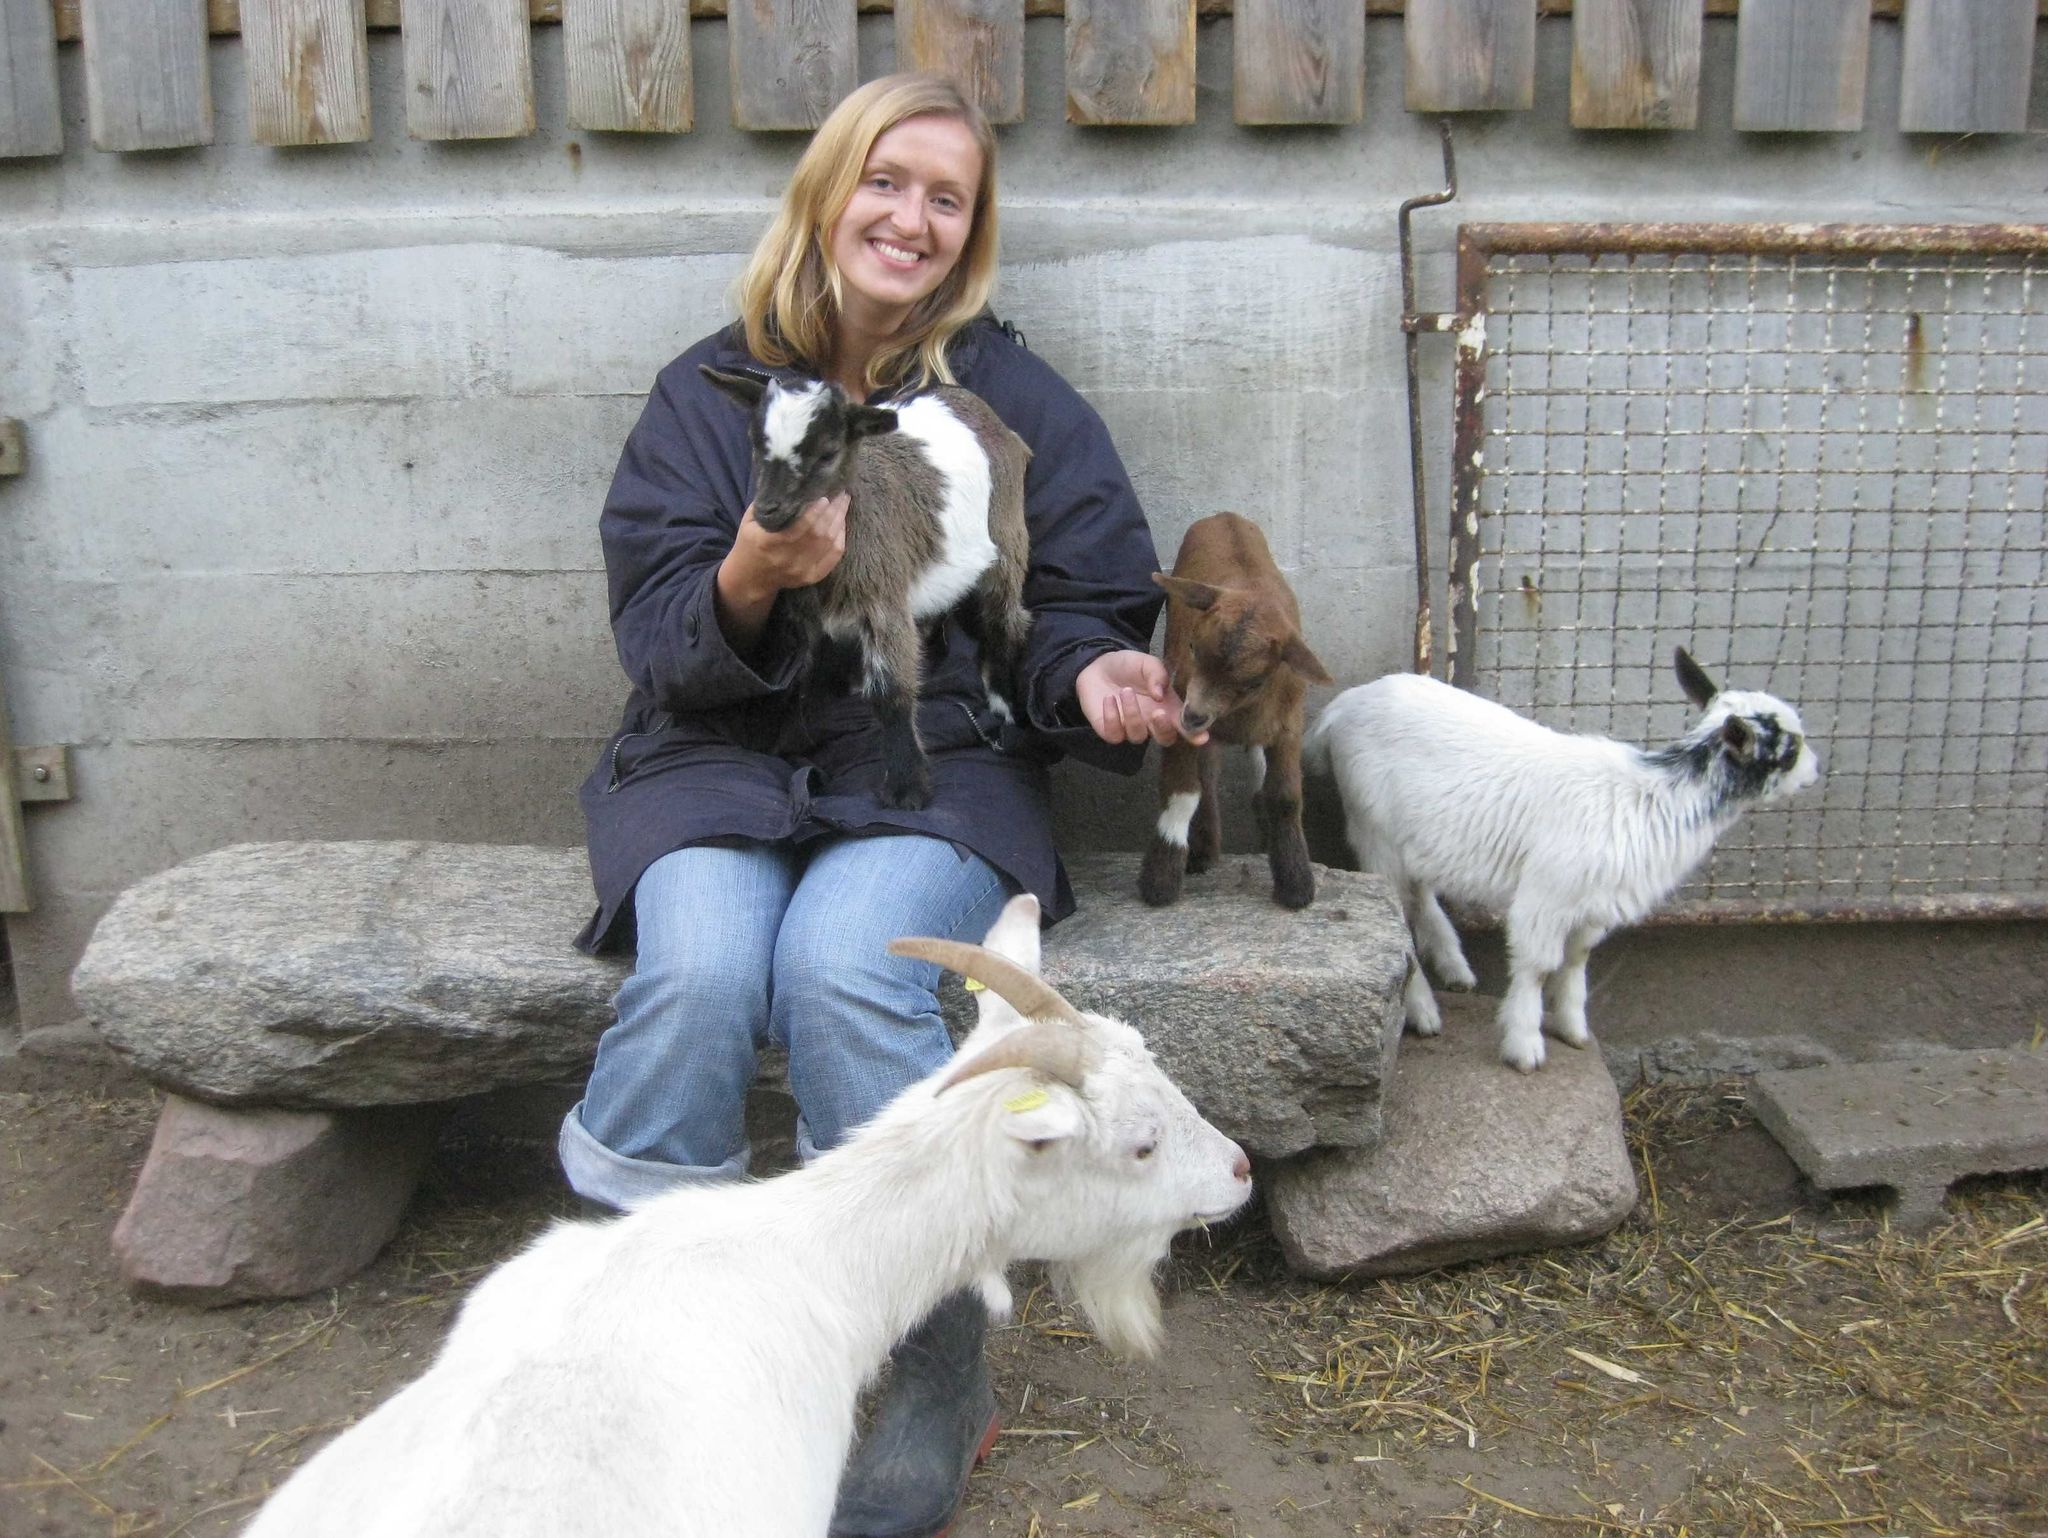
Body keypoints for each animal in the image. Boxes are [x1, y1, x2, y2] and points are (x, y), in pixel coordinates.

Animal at [704, 366, 1032, 810]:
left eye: (827, 453)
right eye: (757, 445)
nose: (768, 511)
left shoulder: (882, 601)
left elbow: (891, 693)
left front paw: (907, 788)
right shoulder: (804, 615)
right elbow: (796, 671)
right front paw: (777, 731)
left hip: (1008, 535)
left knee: (1006, 620)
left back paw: (1002, 703)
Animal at [1302, 647, 1818, 1073]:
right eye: (1789, 749)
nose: (1816, 770)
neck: (1652, 798)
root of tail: (1340, 707)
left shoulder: (1594, 904)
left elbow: (1576, 959)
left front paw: (1573, 1028)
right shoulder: (1547, 896)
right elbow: (1538, 966)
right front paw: (1524, 1046)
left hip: (1416, 836)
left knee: (1420, 897)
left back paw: (1454, 967)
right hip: (1373, 831)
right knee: (1396, 916)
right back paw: (1423, 1010)